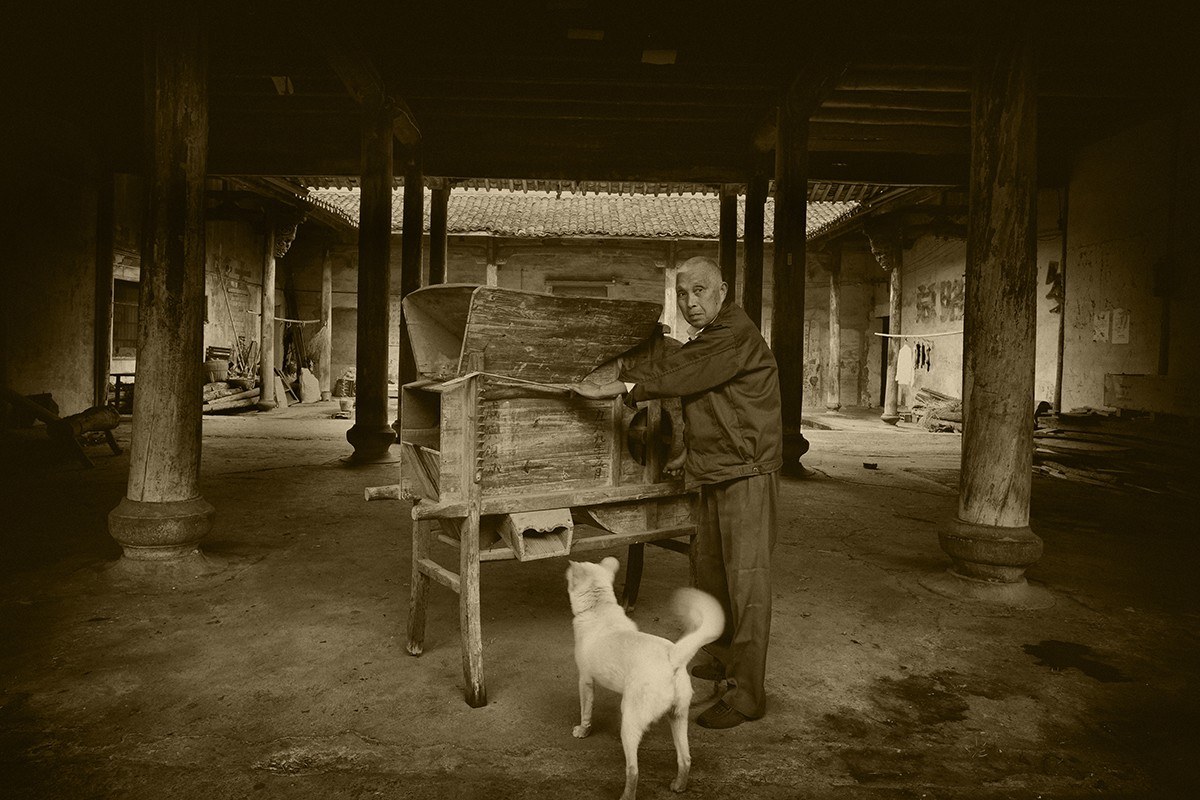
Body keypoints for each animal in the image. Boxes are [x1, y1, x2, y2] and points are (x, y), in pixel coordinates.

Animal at [566, 556, 724, 800]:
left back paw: (626, 796)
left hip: (631, 720)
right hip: (678, 717)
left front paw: (583, 731)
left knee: (633, 771)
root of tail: (673, 655)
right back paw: (679, 786)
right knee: (685, 759)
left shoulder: (585, 680)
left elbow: (586, 711)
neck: (600, 607)